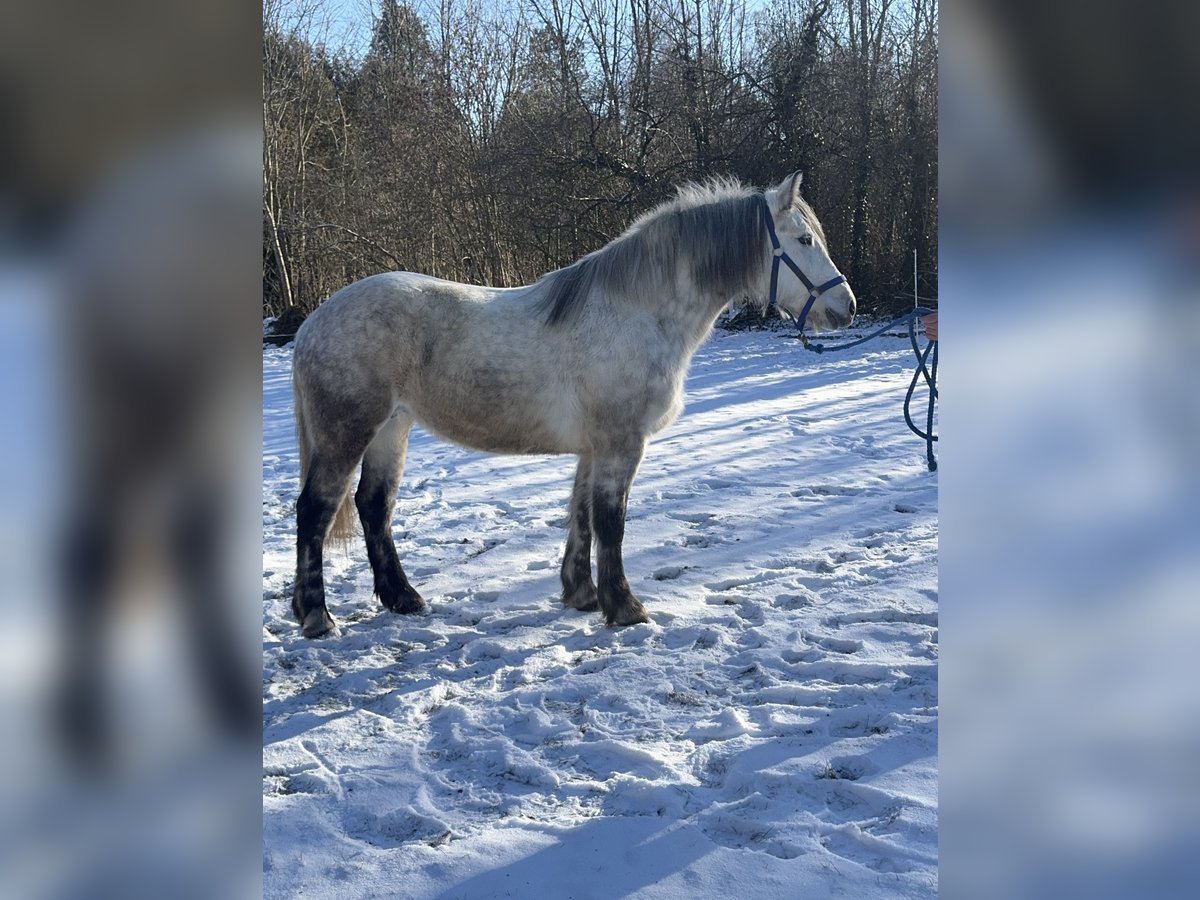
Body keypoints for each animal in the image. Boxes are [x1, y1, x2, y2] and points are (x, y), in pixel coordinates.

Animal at [290, 172, 856, 638]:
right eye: (804, 240)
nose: (846, 307)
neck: (637, 313)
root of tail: (312, 323)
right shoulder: (620, 444)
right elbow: (611, 521)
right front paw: (626, 608)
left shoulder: (594, 447)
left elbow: (581, 515)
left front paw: (583, 594)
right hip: (348, 433)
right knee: (315, 510)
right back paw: (317, 617)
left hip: (392, 429)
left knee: (373, 506)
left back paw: (402, 599)